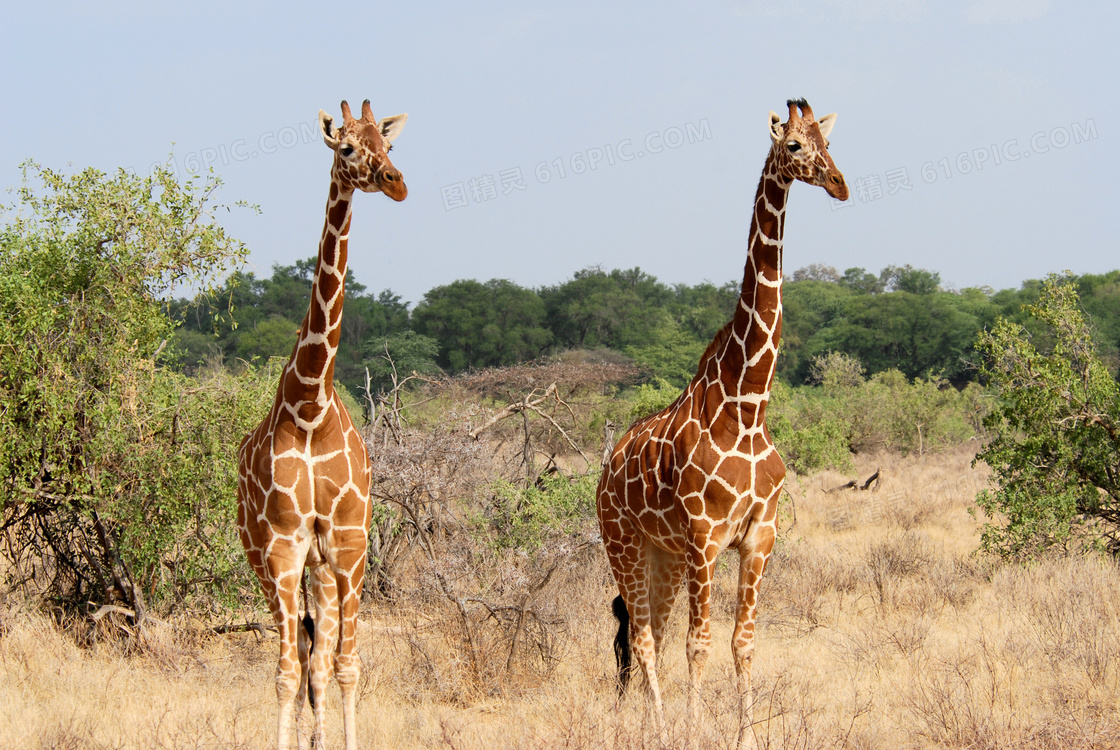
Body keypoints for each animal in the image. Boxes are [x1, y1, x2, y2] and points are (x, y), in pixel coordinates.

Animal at [236, 98, 407, 750]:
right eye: (347, 148)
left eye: (388, 145)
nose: (397, 182)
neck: (309, 407)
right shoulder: (283, 547)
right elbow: (285, 672)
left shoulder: (349, 545)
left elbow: (346, 666)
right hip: (266, 561)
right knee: (302, 658)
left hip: (323, 569)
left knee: (322, 658)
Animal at [595, 99, 846, 750]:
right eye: (795, 146)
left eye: (828, 142)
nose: (840, 184)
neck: (749, 405)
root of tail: (606, 467)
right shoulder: (706, 537)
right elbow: (700, 644)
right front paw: (691, 732)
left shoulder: (759, 536)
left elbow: (743, 642)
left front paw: (746, 734)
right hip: (623, 543)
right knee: (643, 638)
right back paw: (660, 730)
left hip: (662, 555)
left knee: (648, 634)